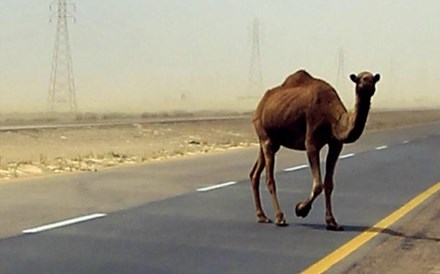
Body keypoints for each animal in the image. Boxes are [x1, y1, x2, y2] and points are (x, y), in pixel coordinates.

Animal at [249, 69, 380, 230]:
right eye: (360, 79)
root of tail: (260, 104)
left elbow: (329, 184)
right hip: (263, 131)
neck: (333, 117)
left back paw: (262, 216)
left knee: (255, 173)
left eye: (373, 79)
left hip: (272, 140)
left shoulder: (336, 144)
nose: (368, 84)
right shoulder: (311, 140)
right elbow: (318, 184)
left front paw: (332, 222)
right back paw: (279, 218)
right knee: (269, 178)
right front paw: (300, 209)